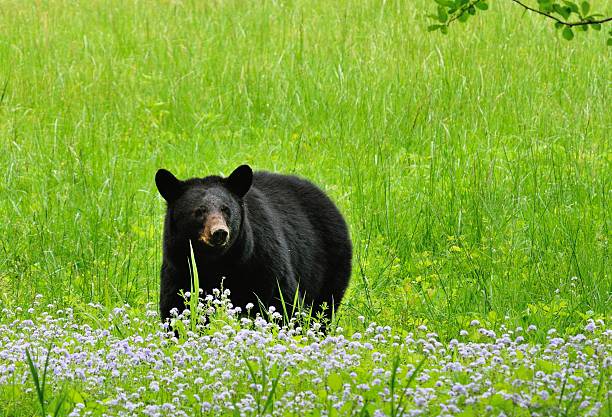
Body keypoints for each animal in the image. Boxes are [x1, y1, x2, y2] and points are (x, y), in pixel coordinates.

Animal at [155, 165, 352, 322]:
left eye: (226, 209)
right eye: (199, 211)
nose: (219, 232)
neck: (216, 263)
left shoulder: (262, 260)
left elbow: (283, 301)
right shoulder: (179, 267)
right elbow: (176, 306)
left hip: (330, 265)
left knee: (325, 304)